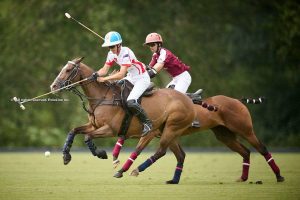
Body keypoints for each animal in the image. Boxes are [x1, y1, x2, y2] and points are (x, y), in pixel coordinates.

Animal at [51, 57, 284, 184]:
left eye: (68, 69)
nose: (53, 87)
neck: (104, 96)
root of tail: (236, 100)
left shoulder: (110, 129)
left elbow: (88, 138)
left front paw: (101, 153)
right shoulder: (95, 125)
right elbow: (74, 130)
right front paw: (65, 156)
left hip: (242, 128)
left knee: (261, 148)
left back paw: (279, 176)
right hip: (221, 134)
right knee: (242, 152)